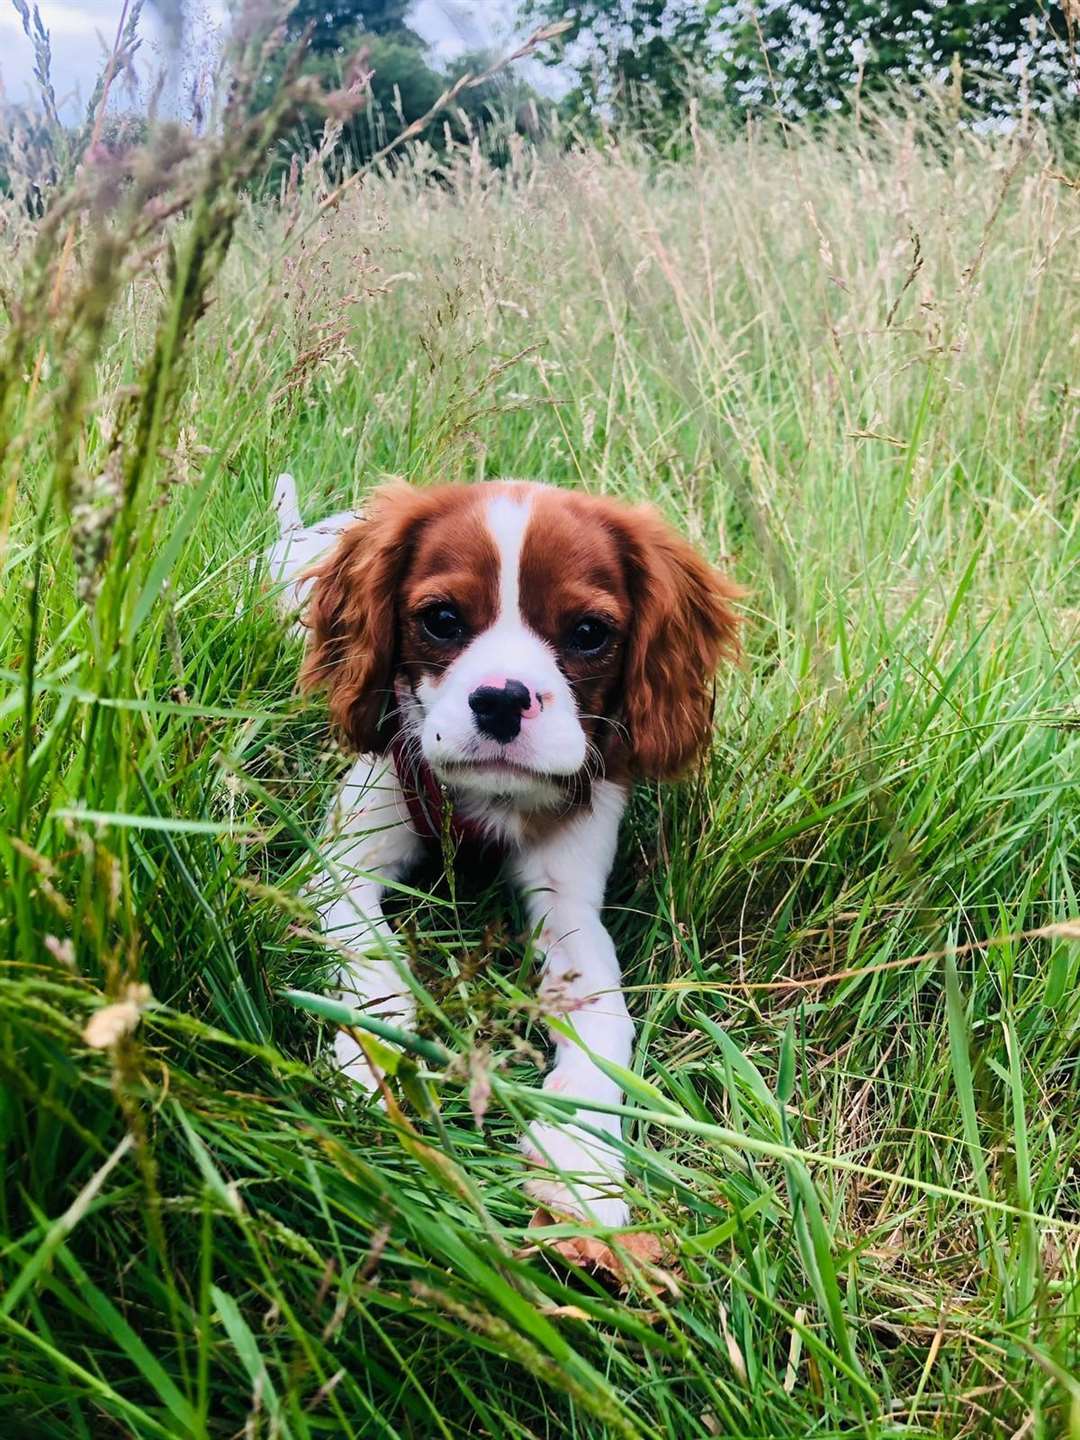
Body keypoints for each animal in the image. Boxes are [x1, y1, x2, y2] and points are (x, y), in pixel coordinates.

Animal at [270, 475, 743, 1238]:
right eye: (440, 619)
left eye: (589, 633)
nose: (500, 700)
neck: (487, 801)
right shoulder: (343, 866)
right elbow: (377, 962)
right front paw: (375, 1061)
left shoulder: (570, 898)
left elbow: (606, 1015)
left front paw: (582, 1158)